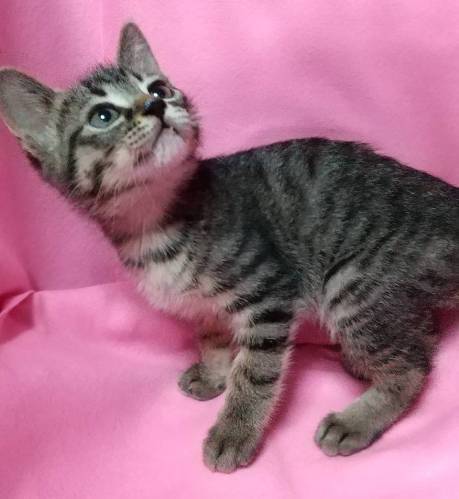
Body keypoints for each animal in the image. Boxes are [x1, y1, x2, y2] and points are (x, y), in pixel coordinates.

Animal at [0, 22, 458, 473]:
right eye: (103, 115)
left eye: (159, 88)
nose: (155, 105)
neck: (154, 222)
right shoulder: (205, 305)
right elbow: (213, 336)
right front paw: (213, 372)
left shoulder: (270, 295)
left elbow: (255, 372)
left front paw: (234, 432)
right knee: (423, 337)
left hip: (352, 282)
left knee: (414, 366)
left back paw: (355, 420)